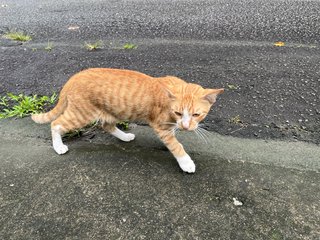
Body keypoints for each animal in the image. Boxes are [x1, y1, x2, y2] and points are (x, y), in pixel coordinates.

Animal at [31, 67, 222, 172]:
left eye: (196, 115)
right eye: (178, 113)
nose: (186, 126)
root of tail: (74, 77)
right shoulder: (161, 126)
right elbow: (176, 145)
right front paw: (186, 163)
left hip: (111, 111)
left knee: (107, 126)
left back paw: (125, 137)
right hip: (82, 114)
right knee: (56, 124)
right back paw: (59, 146)